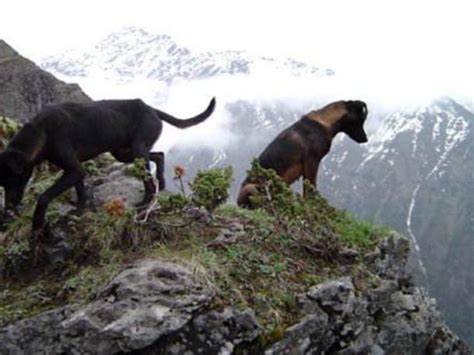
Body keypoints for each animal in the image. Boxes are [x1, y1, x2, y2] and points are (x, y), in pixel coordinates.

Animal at [0, 98, 215, 236]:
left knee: (148, 178)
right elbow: (81, 191)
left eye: (14, 178)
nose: (8, 207)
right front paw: (78, 211)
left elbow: (44, 196)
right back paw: (160, 183)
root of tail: (151, 109)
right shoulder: (73, 170)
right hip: (124, 152)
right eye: (3, 184)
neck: (42, 131)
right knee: (159, 155)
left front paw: (37, 224)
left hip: (137, 150)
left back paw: (145, 202)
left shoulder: (74, 169)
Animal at [239, 100, 368, 206]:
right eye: (360, 120)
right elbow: (310, 189)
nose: (365, 139)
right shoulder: (312, 162)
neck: (324, 122)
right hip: (251, 188)